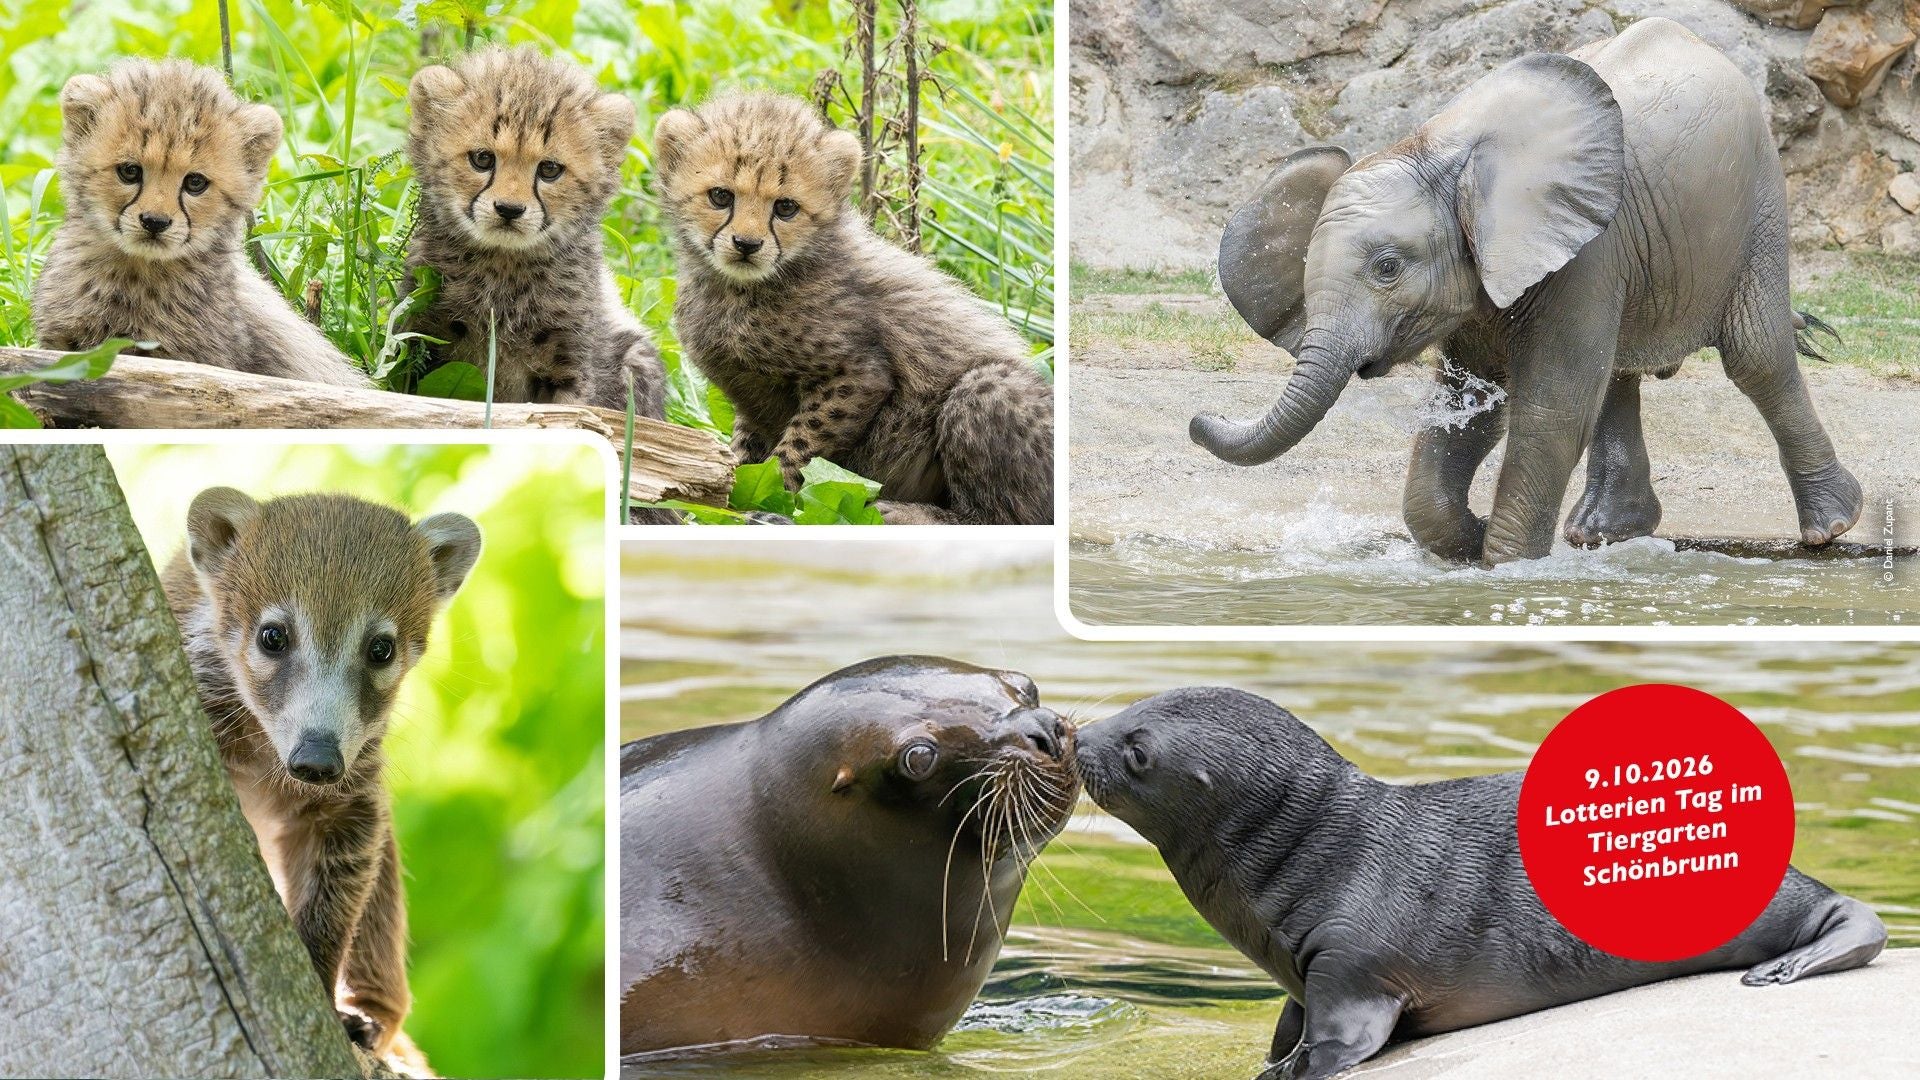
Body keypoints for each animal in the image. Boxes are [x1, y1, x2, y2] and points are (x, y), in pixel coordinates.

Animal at [1189, 17, 1863, 565]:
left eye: (1386, 267)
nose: (1200, 417)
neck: (1438, 152)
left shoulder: (1589, 248)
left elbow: (1549, 406)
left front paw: (1506, 565)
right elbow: (1471, 406)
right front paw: (1465, 541)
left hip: (1757, 202)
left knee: (1756, 355)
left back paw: (1831, 527)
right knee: (1617, 370)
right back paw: (1603, 536)